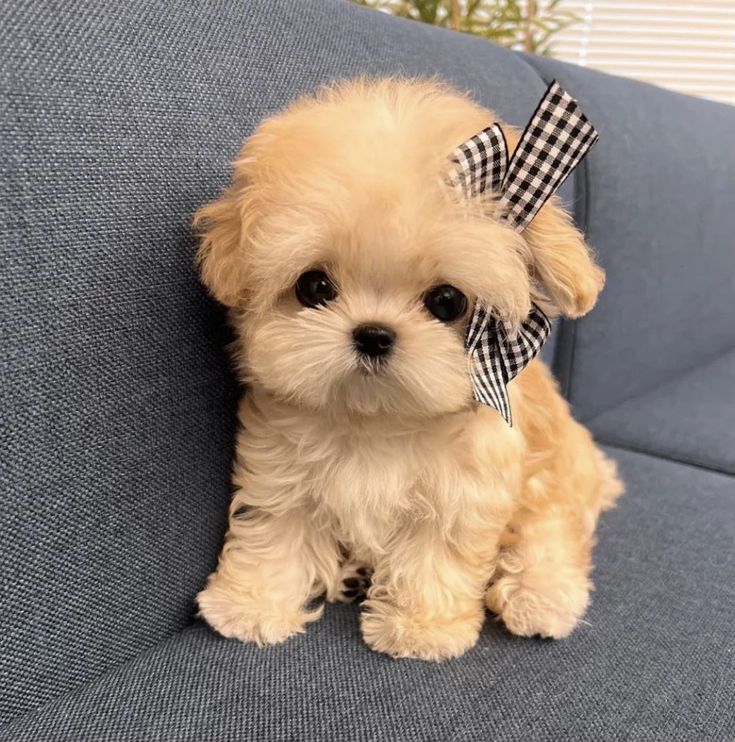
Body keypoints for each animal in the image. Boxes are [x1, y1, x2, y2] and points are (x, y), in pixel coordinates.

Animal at [196, 80, 620, 664]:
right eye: (314, 287)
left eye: (447, 301)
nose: (373, 333)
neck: (378, 419)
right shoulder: (281, 468)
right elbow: (277, 530)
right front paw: (251, 602)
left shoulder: (465, 490)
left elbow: (435, 555)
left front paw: (423, 627)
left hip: (556, 473)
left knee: (550, 532)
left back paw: (541, 596)